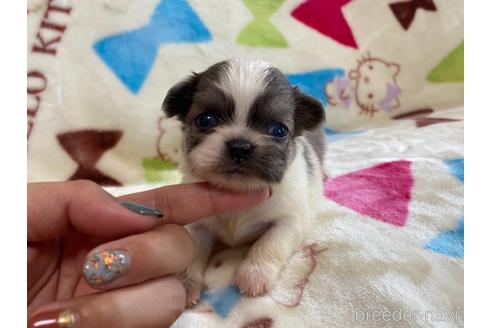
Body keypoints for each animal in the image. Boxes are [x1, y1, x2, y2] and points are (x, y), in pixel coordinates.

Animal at [163, 57, 328, 304]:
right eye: (205, 120)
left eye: (279, 130)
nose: (240, 147)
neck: (237, 191)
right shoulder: (197, 223)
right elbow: (191, 249)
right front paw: (185, 282)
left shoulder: (292, 218)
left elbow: (271, 241)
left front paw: (255, 273)